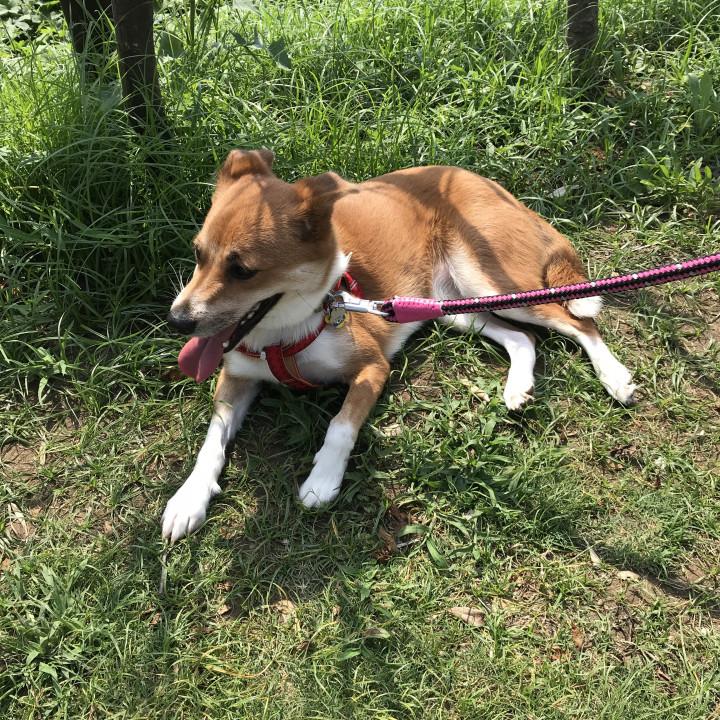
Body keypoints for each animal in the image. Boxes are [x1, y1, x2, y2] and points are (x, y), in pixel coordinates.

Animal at [162, 149, 636, 542]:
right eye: (198, 254)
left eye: (243, 270)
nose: (177, 320)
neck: (287, 331)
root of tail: (476, 178)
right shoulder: (236, 377)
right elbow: (212, 440)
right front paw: (189, 498)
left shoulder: (372, 367)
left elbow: (341, 425)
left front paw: (322, 480)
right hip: (451, 307)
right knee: (523, 338)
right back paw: (517, 386)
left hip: (493, 281)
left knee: (578, 321)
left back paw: (615, 377)